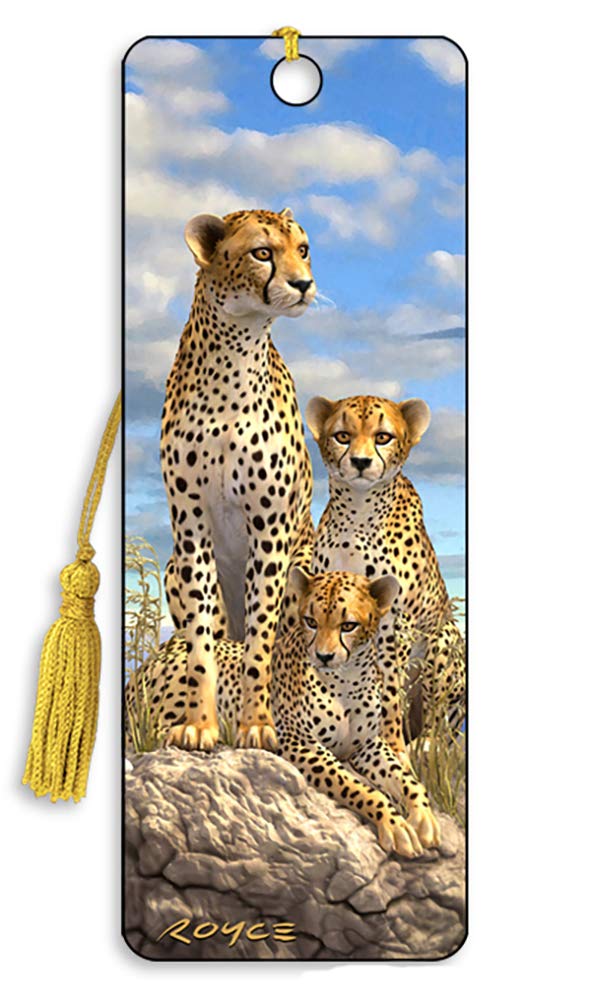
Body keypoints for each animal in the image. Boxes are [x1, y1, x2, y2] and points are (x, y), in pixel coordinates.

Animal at [127, 569, 441, 858]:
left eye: (348, 625)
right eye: (311, 621)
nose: (323, 656)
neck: (347, 679)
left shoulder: (367, 746)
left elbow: (407, 779)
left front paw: (424, 818)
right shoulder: (301, 744)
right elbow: (358, 788)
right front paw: (395, 825)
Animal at [160, 207, 316, 754]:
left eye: (303, 249)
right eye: (262, 252)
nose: (305, 284)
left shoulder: (270, 530)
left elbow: (259, 643)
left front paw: (256, 726)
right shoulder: (191, 527)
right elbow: (202, 646)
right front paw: (200, 724)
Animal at [306, 394, 466, 756]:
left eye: (383, 436)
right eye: (342, 436)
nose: (361, 462)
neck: (358, 511)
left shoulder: (394, 622)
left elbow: (391, 690)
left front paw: (391, 743)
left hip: (444, 639)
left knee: (440, 724)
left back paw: (425, 742)